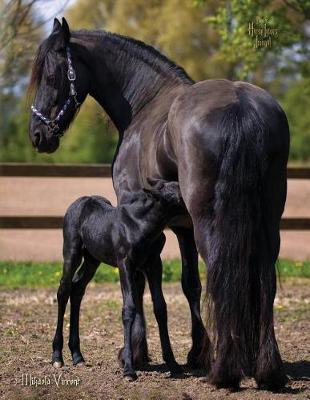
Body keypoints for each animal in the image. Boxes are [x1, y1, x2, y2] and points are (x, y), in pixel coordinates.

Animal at [52, 180, 185, 380]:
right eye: (178, 194)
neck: (141, 226)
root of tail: (79, 202)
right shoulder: (125, 264)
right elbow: (129, 309)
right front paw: (129, 369)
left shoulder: (154, 263)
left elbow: (160, 307)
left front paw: (173, 363)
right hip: (71, 252)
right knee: (64, 290)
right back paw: (57, 356)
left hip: (92, 259)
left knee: (77, 289)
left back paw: (77, 355)